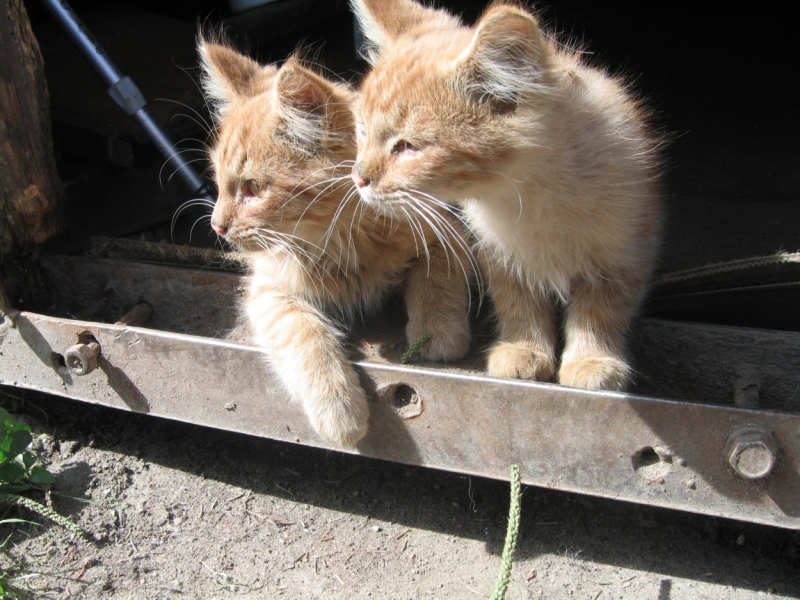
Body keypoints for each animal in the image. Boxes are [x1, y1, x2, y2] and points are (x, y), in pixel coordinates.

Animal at [200, 38, 476, 446]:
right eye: (218, 183)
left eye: (252, 188)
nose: (217, 226)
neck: (340, 244)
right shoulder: (269, 289)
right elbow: (303, 333)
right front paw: (337, 406)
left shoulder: (447, 229)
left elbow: (435, 277)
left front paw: (437, 334)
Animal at [352, 0, 664, 392]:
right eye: (362, 130)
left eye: (408, 147)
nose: (359, 177)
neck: (533, 198)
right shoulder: (498, 250)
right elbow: (518, 298)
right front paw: (523, 348)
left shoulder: (627, 247)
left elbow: (602, 309)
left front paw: (592, 359)